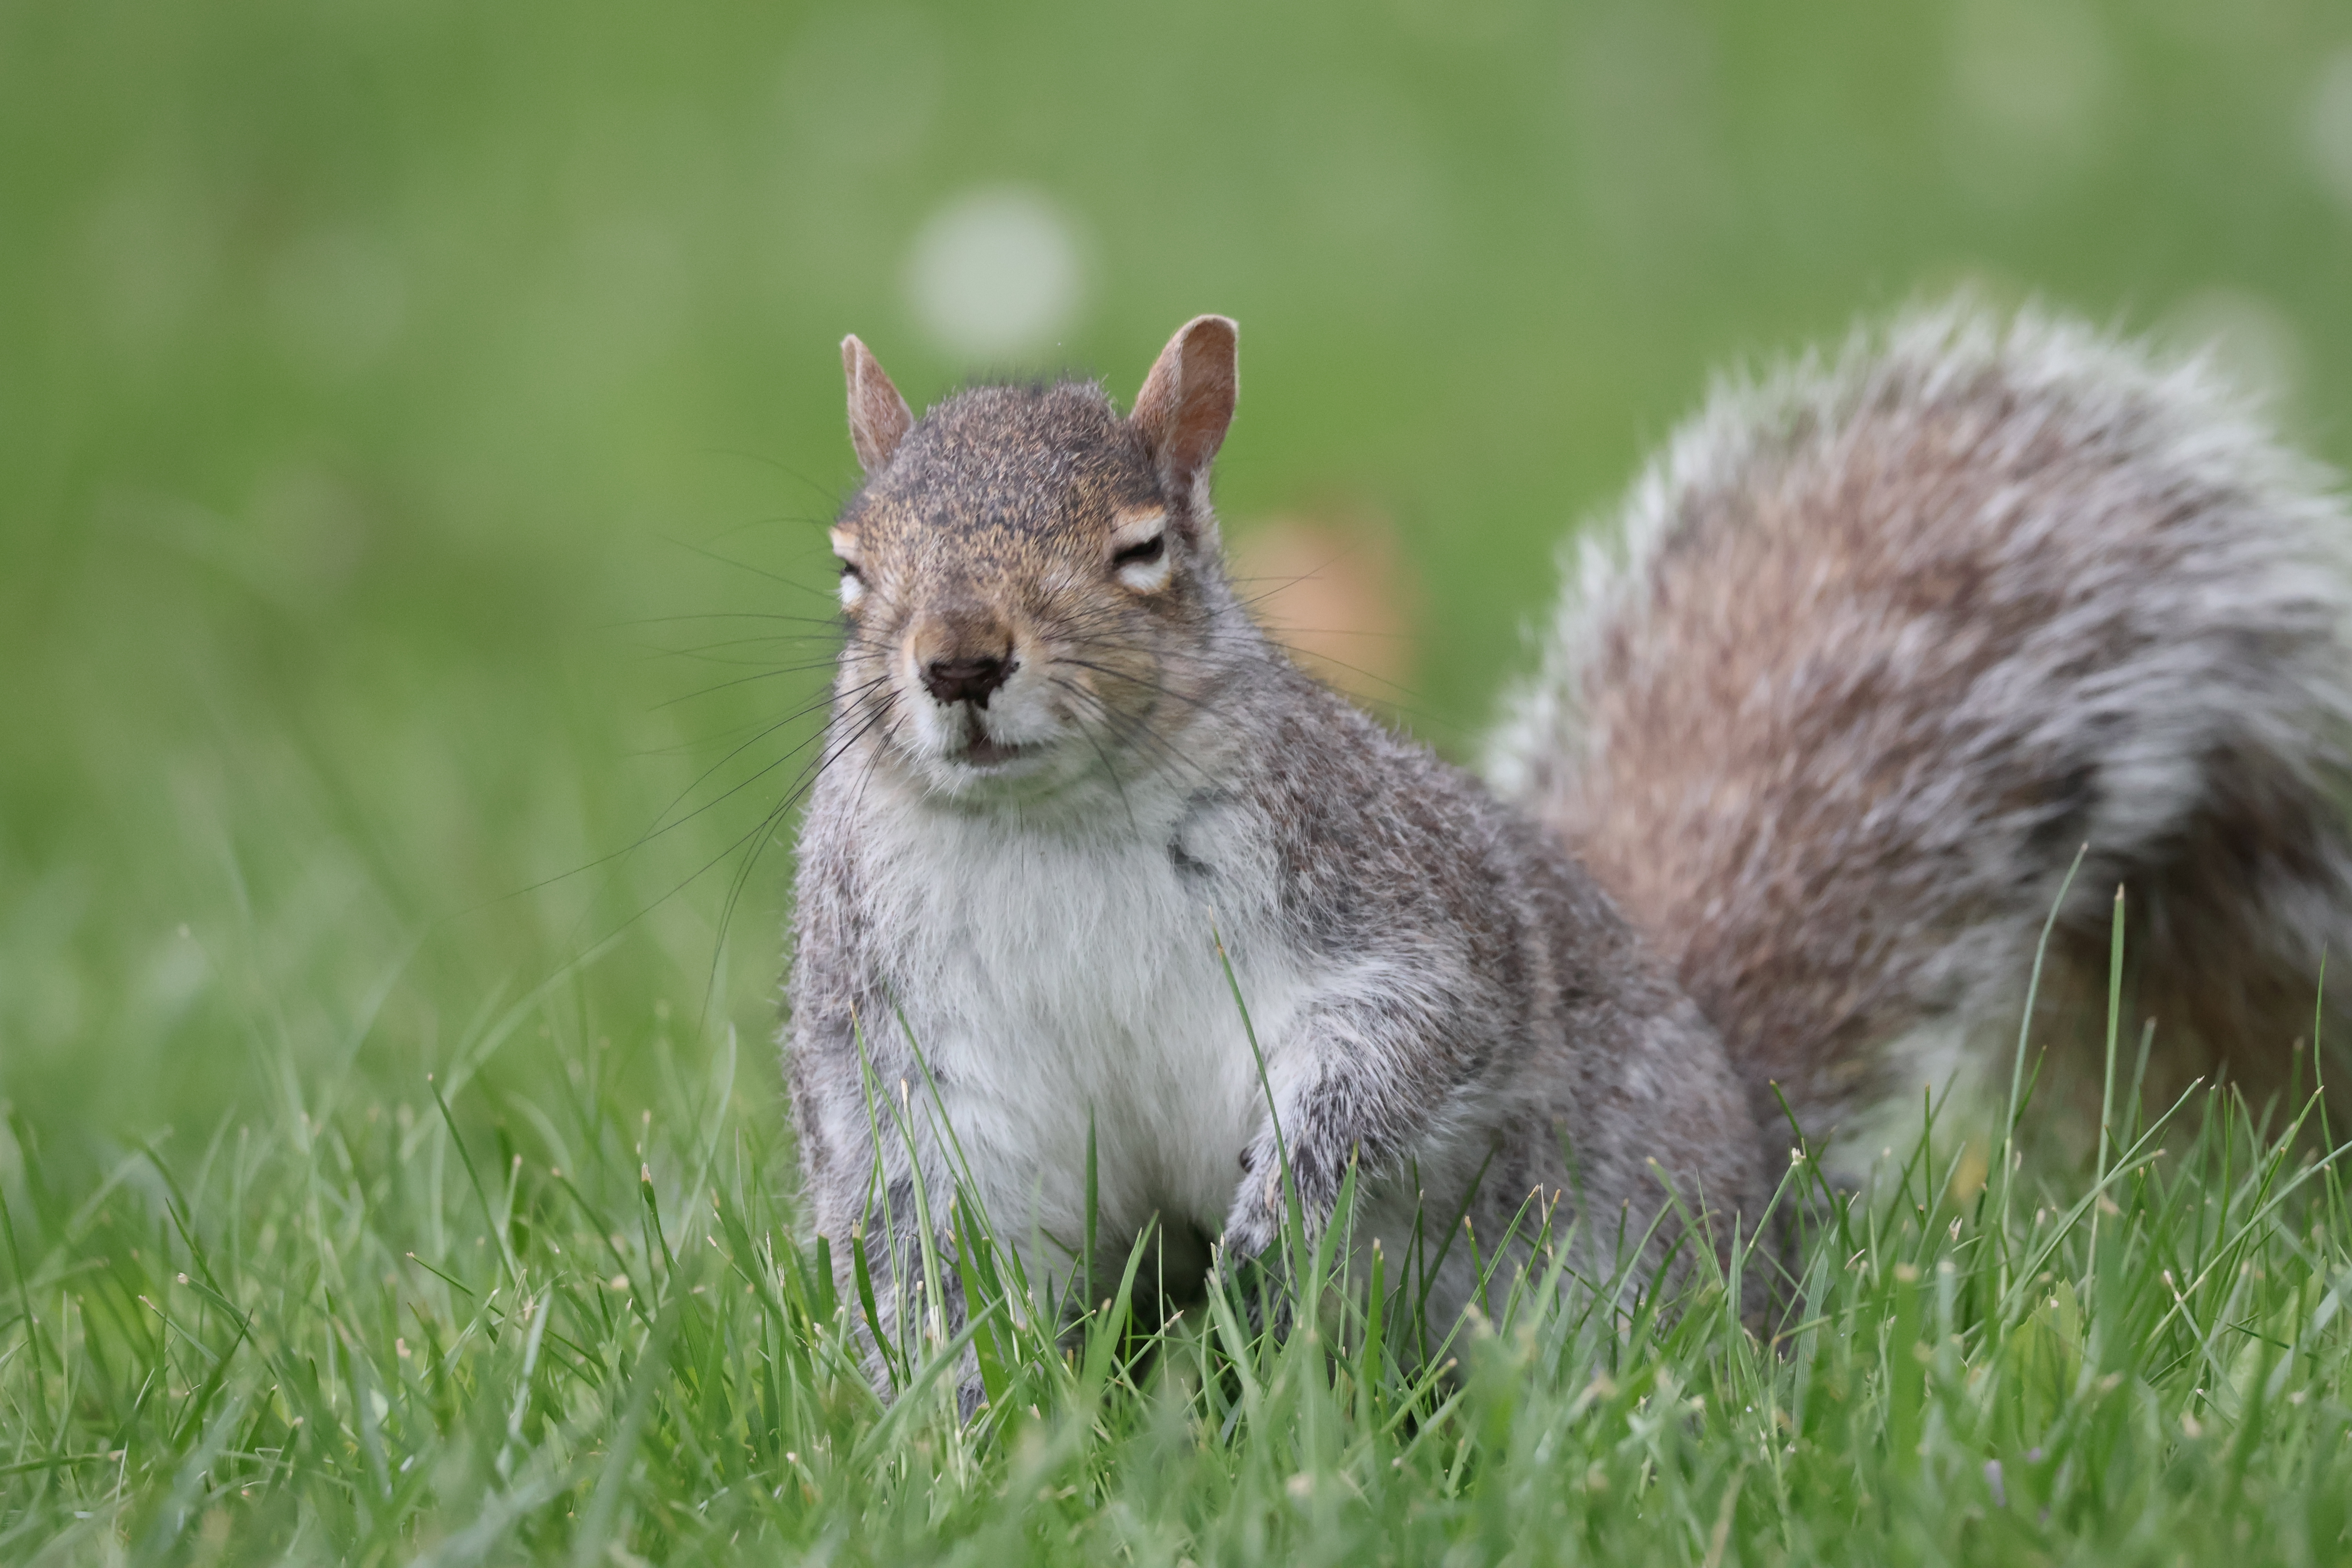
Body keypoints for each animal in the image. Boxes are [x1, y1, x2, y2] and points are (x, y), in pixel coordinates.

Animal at [784, 304, 2352, 1393]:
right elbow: (928, 1220)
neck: (1053, 823)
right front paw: (954, 1415)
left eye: (1141, 548)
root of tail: (1757, 1159)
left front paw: (1282, 1203)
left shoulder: (1392, 901)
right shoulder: (908, 1039)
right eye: (850, 565)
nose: (960, 660)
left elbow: (1411, 1042)